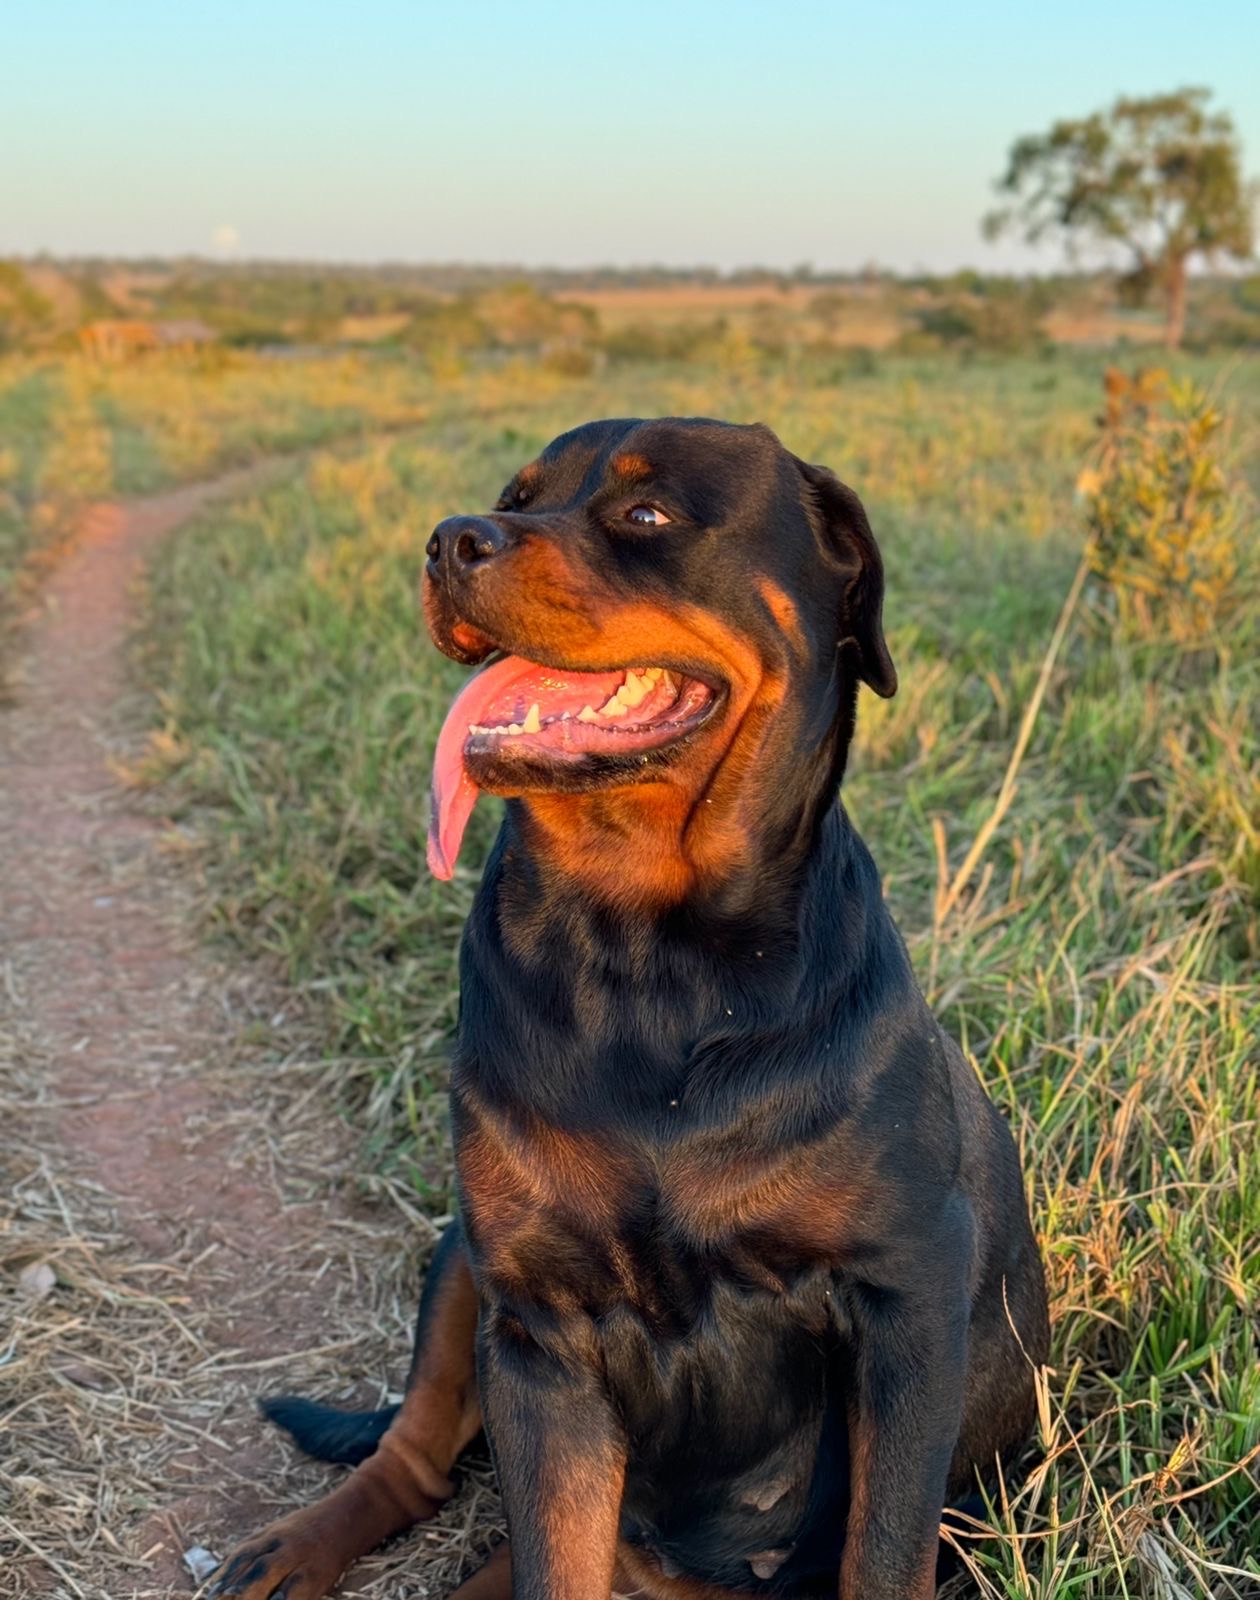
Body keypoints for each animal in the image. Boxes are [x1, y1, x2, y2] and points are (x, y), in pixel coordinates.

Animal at [211, 419, 1048, 1593]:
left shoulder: (908, 1303)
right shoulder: (539, 1327)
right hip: (461, 1261)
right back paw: (295, 1546)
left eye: (646, 514)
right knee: (416, 1458)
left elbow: (881, 1553)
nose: (451, 539)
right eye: (516, 496)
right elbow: (549, 1553)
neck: (646, 958)